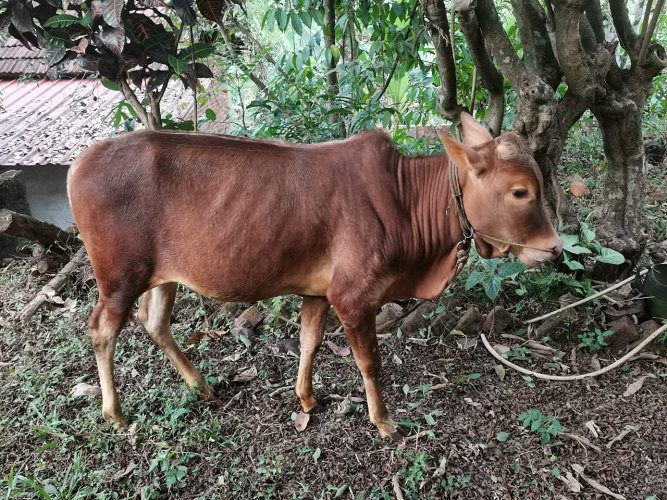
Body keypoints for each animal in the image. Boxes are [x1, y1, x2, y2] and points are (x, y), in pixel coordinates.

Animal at [67, 112, 562, 439]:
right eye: (521, 191)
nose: (555, 248)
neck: (405, 201)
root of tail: (79, 162)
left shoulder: (319, 292)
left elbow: (309, 341)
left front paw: (306, 398)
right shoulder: (354, 296)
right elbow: (369, 361)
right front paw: (382, 420)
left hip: (162, 275)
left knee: (155, 323)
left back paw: (201, 385)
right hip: (120, 277)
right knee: (102, 330)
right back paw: (116, 412)